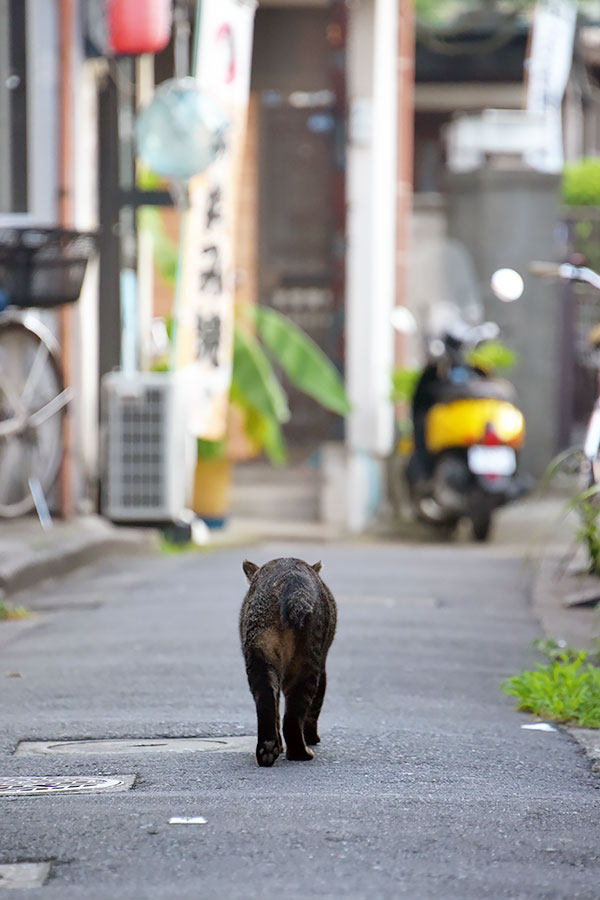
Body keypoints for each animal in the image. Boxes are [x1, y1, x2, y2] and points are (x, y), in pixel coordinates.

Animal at [240, 556, 338, 768]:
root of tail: (291, 582)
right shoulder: (323, 668)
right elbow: (314, 708)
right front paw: (312, 737)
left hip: (259, 657)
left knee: (267, 705)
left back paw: (268, 750)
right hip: (308, 662)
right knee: (293, 717)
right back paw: (302, 752)